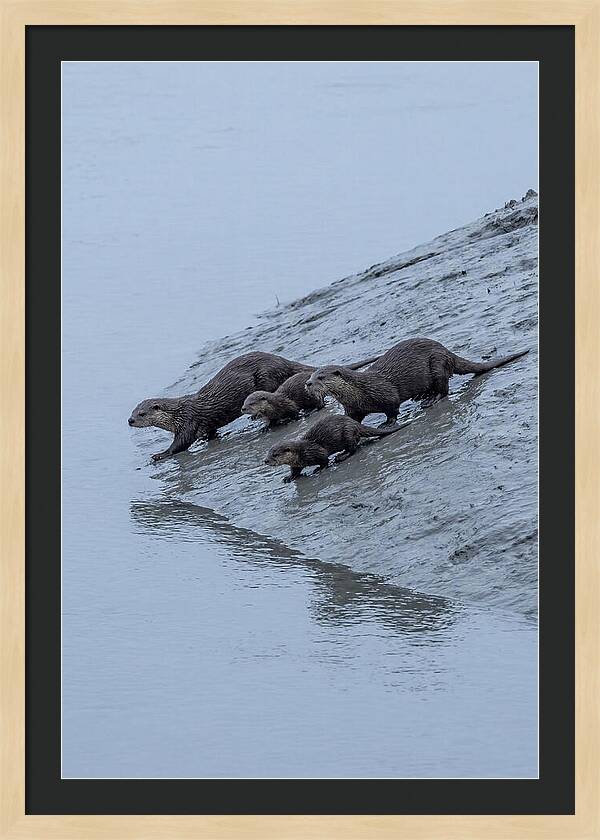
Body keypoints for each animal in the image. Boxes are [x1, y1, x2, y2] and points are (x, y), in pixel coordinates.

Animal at [128, 351, 312, 461]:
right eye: (132, 412)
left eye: (141, 414)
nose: (130, 421)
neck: (176, 415)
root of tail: (281, 360)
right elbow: (210, 431)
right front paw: (207, 438)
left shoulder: (188, 422)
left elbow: (181, 444)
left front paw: (160, 455)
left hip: (267, 376)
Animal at [241, 355, 380, 427]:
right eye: (244, 402)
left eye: (251, 403)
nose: (242, 409)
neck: (273, 406)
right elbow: (271, 421)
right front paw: (268, 426)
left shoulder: (287, 403)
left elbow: (294, 411)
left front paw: (295, 418)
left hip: (314, 395)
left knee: (320, 404)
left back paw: (311, 410)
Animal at [264, 414, 406, 482]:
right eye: (268, 453)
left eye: (275, 455)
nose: (265, 461)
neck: (301, 453)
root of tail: (354, 423)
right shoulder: (296, 464)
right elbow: (295, 471)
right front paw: (289, 477)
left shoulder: (316, 451)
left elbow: (324, 460)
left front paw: (319, 469)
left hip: (347, 433)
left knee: (353, 448)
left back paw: (341, 456)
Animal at [306, 338, 529, 424]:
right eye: (310, 376)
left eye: (321, 377)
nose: (307, 384)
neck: (359, 391)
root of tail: (446, 351)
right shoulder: (353, 408)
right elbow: (352, 420)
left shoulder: (386, 394)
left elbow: (392, 408)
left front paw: (387, 424)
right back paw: (422, 395)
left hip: (437, 363)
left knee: (444, 388)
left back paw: (431, 399)